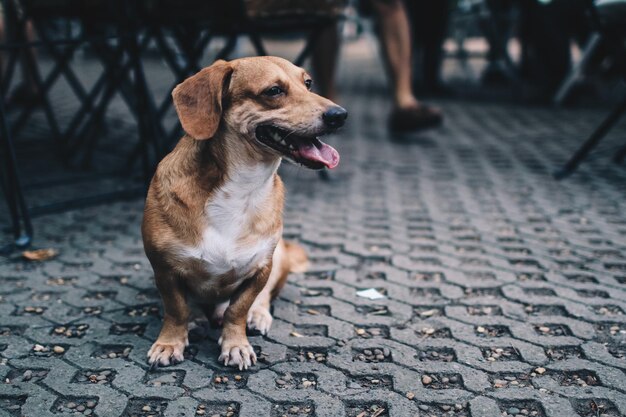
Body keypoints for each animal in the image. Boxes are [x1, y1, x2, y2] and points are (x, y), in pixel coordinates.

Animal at [142, 57, 346, 368]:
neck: (242, 186)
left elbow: (237, 309)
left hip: (278, 258)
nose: (340, 115)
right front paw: (170, 342)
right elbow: (176, 309)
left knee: (261, 298)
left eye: (308, 83)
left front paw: (236, 344)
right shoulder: (164, 269)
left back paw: (257, 316)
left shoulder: (261, 269)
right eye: (274, 91)